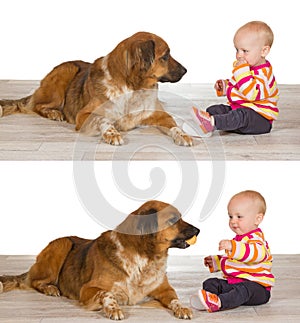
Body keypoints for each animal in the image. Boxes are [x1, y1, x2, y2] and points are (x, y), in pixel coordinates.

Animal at [0, 32, 192, 147]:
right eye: (165, 56)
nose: (185, 70)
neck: (132, 88)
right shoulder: (83, 115)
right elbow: (103, 120)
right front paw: (111, 133)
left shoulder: (161, 115)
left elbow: (174, 125)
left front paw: (183, 135)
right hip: (66, 71)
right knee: (37, 105)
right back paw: (54, 113)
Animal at [0, 201, 199, 320]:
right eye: (173, 220)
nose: (198, 230)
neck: (144, 257)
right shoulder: (87, 289)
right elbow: (106, 293)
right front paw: (113, 308)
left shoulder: (165, 289)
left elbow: (175, 299)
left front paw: (182, 308)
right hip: (62, 244)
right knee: (35, 281)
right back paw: (50, 288)